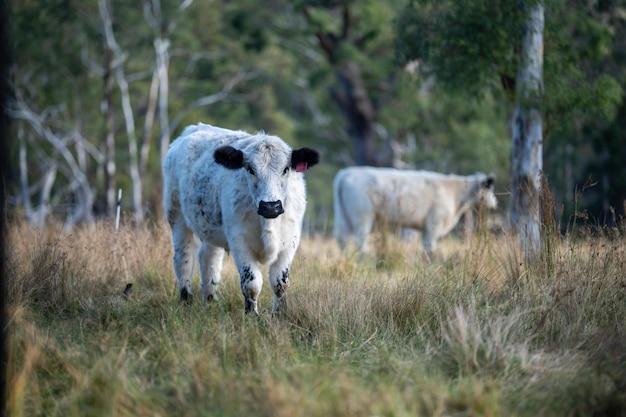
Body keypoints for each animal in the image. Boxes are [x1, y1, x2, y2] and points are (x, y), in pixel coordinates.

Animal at [162, 122, 316, 312]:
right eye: (250, 169)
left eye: (285, 169)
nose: (270, 206)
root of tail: (191, 130)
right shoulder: (239, 241)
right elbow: (251, 283)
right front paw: (252, 314)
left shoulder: (290, 241)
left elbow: (280, 282)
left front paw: (279, 313)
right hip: (177, 217)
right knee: (184, 258)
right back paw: (186, 300)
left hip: (210, 228)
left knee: (208, 257)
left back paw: (210, 299)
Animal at [334, 167, 494, 255]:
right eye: (489, 188)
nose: (495, 203)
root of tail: (345, 173)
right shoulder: (434, 223)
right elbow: (430, 245)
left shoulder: (421, 227)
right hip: (363, 216)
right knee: (360, 238)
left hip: (342, 216)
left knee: (342, 238)